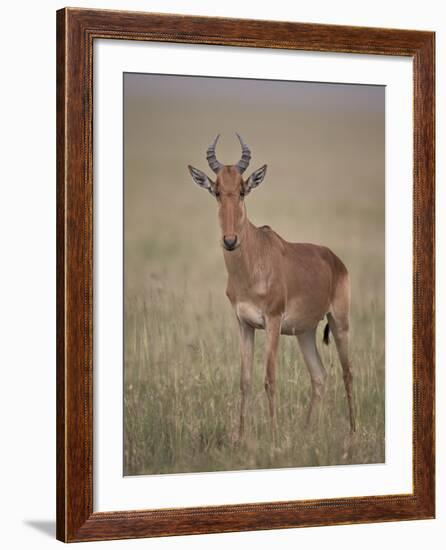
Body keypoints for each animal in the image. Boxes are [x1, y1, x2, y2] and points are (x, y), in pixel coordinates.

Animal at [188, 136, 356, 442]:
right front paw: (240, 437)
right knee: (319, 376)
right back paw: (306, 431)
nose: (230, 240)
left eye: (243, 191)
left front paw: (275, 437)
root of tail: (334, 259)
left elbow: (269, 379)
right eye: (216, 191)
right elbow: (244, 380)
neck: (255, 259)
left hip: (339, 322)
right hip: (305, 332)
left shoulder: (273, 322)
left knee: (348, 373)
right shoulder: (244, 324)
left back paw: (352, 432)